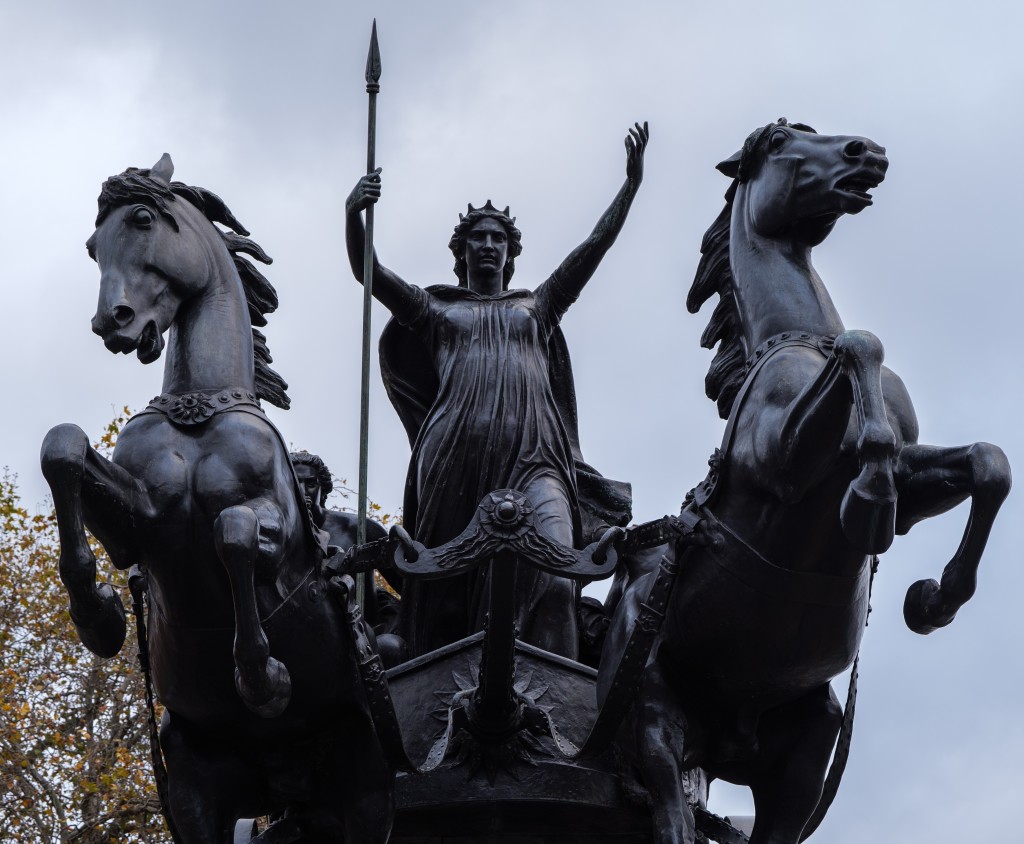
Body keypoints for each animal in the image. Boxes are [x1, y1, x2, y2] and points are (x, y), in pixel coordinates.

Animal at [40, 156, 391, 844]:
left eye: (142, 220)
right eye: (93, 246)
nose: (112, 323)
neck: (198, 409)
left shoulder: (277, 530)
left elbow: (234, 533)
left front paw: (263, 679)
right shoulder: (142, 522)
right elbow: (62, 447)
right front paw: (100, 614)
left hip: (364, 785)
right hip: (199, 784)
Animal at [598, 121, 1007, 844]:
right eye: (780, 141)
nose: (866, 152)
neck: (799, 339)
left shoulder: (918, 479)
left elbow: (988, 463)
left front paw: (933, 600)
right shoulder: (780, 464)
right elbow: (862, 344)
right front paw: (867, 501)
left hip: (807, 749)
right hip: (650, 712)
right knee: (670, 809)